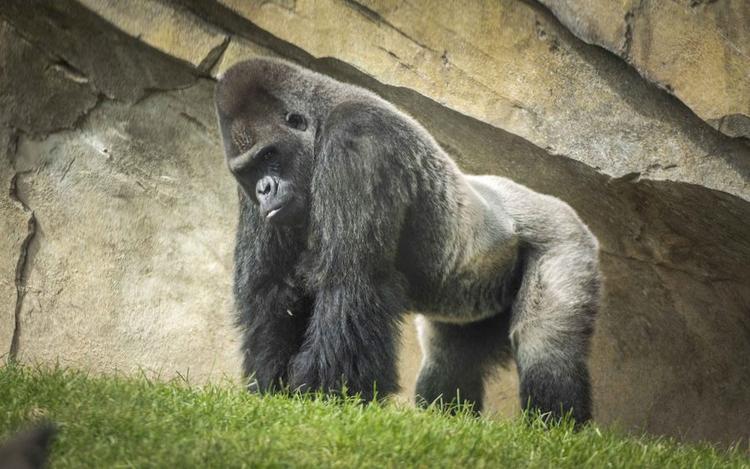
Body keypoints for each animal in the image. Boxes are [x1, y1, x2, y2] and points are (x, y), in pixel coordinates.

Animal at [214, 57, 604, 420]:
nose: (264, 189)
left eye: (269, 154)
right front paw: (270, 386)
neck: (322, 117)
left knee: (546, 346)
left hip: (565, 239)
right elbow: (272, 291)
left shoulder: (358, 140)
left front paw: (327, 395)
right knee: (448, 361)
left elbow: (351, 280)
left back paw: (554, 426)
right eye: (248, 170)